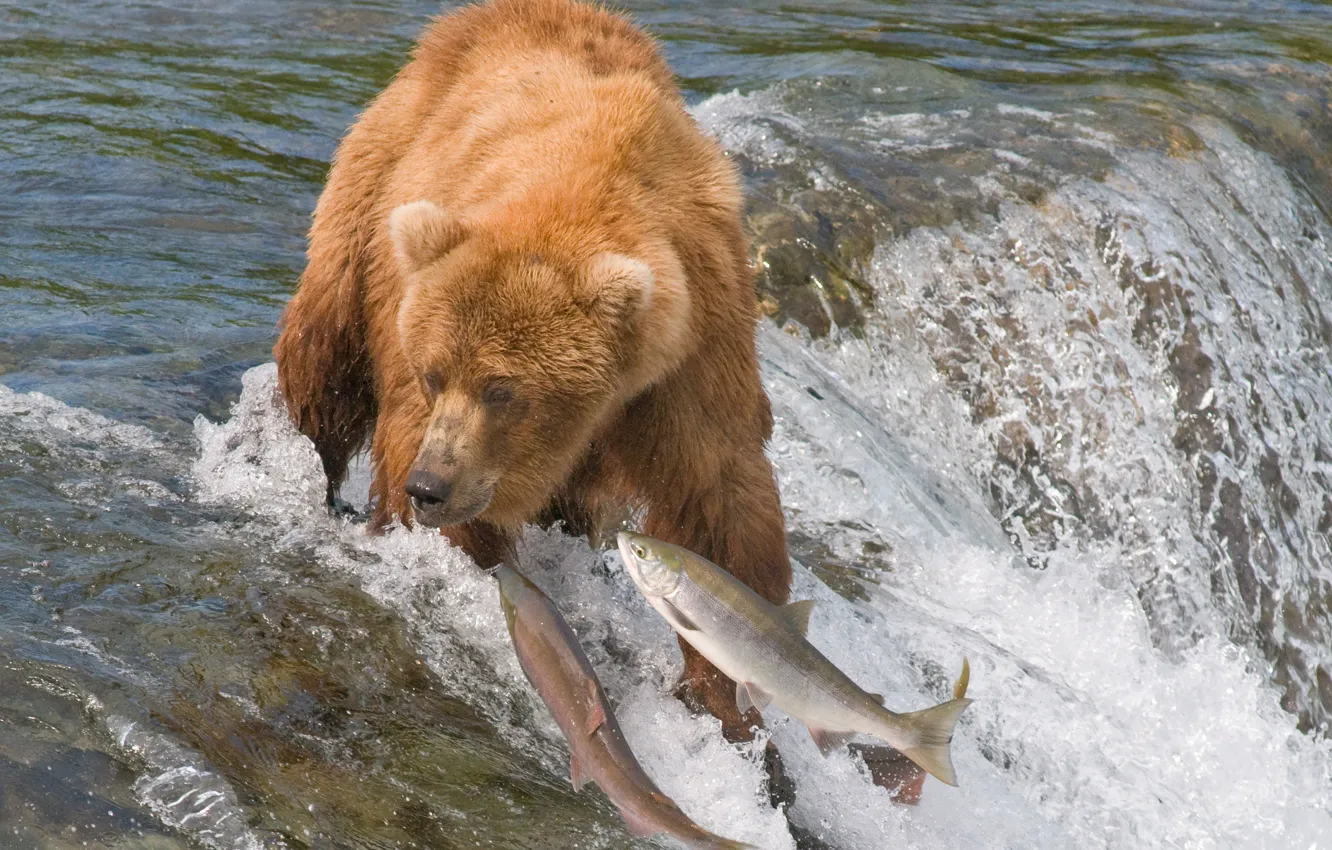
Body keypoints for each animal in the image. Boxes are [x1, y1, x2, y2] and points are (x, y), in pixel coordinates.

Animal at [274, 0, 792, 754]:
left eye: (503, 390)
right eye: (434, 375)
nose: (431, 486)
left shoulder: (692, 350)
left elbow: (717, 503)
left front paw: (728, 692)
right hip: (373, 194)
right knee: (324, 357)